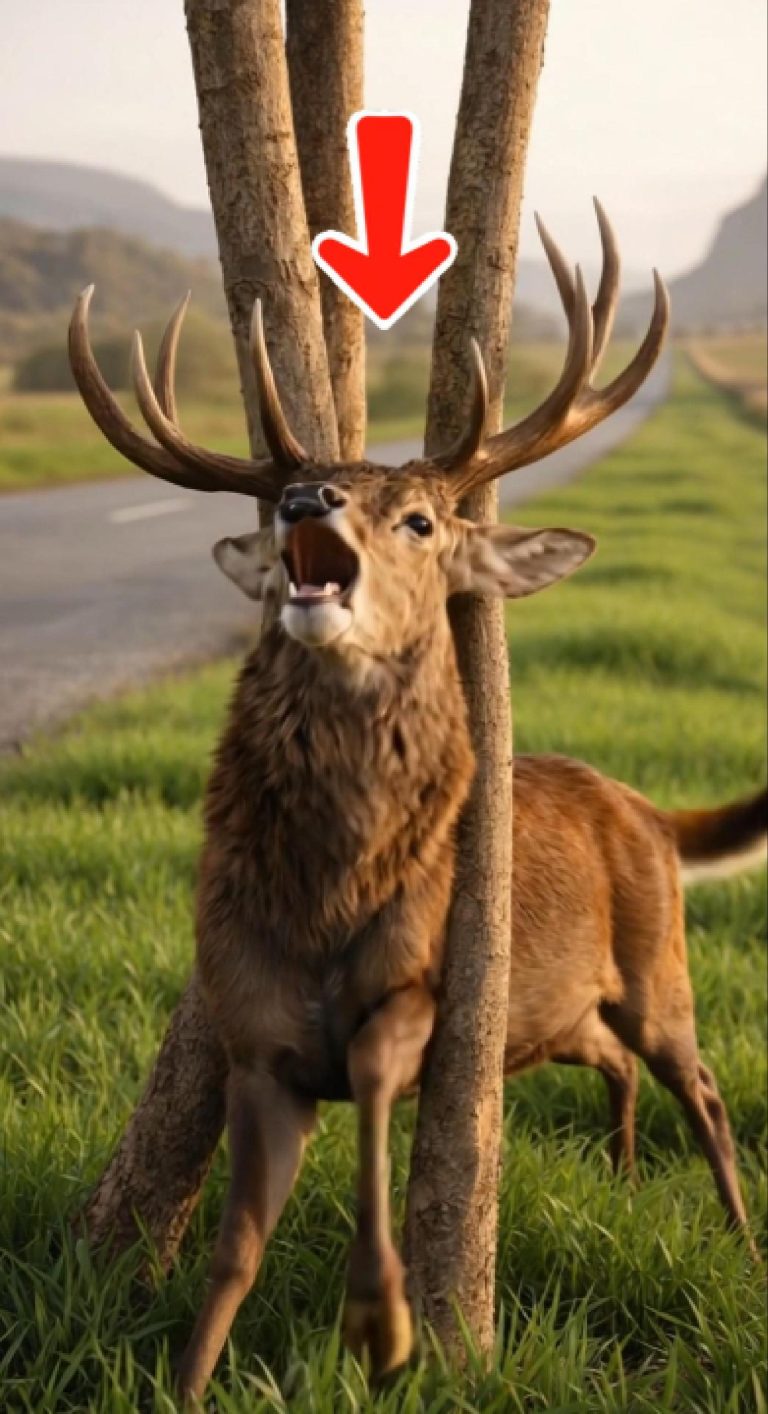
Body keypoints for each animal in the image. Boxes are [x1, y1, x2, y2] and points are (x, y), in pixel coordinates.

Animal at [68, 203, 766, 1403]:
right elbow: (233, 1246)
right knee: (614, 1061)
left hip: (657, 954)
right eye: (292, 496)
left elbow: (374, 1122)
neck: (323, 898)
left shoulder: (419, 988)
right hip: (561, 1010)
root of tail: (642, 804)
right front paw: (187, 1383)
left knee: (705, 1082)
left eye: (424, 521)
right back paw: (628, 1178)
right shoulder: (254, 1038)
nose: (305, 496)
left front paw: (387, 1326)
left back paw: (741, 1237)